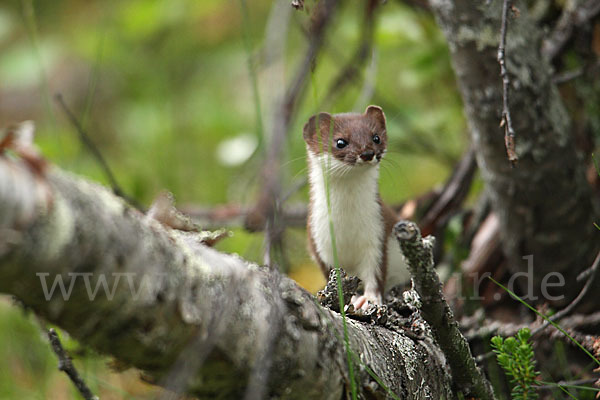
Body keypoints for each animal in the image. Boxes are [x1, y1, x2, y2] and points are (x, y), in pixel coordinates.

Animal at [302, 105, 410, 310]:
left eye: (376, 137)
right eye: (340, 142)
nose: (367, 153)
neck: (347, 224)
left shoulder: (377, 232)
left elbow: (375, 273)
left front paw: (367, 300)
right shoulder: (318, 240)